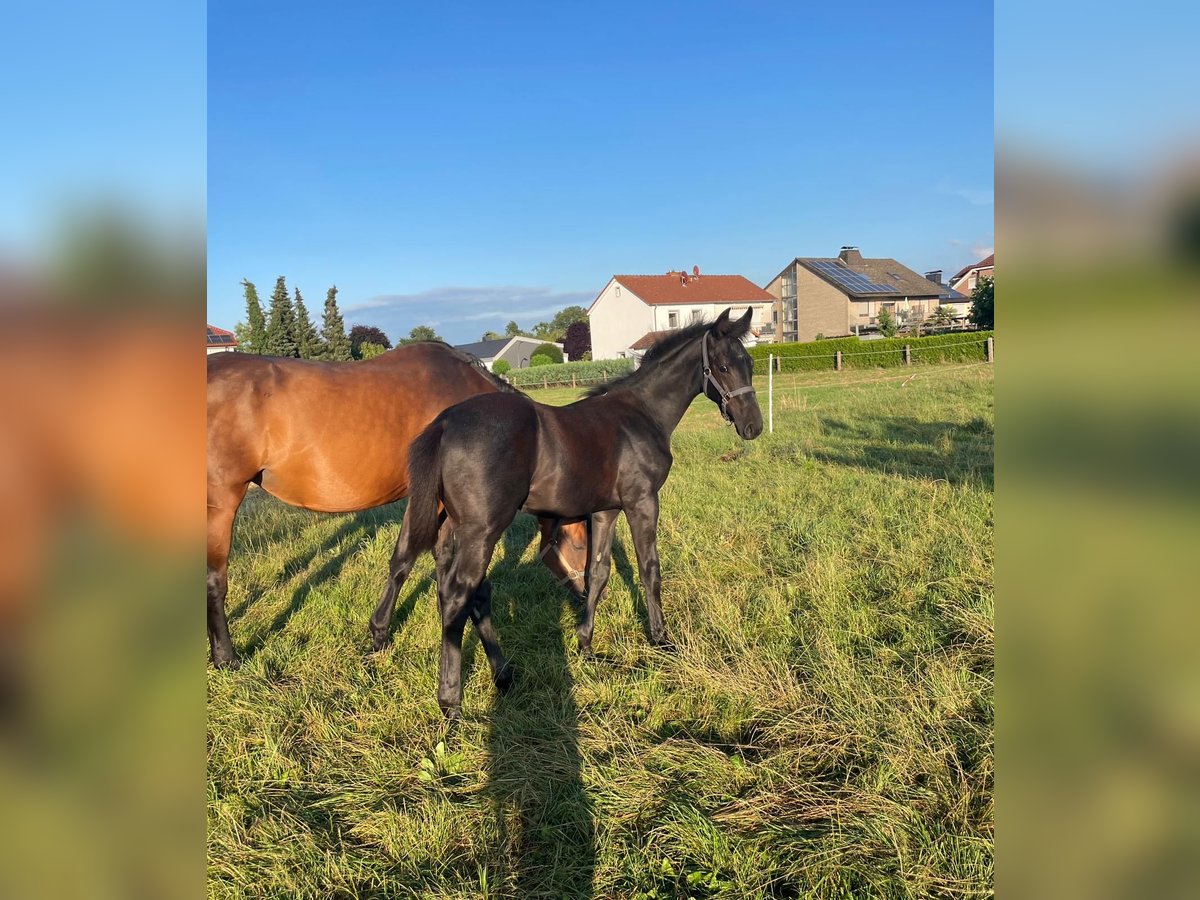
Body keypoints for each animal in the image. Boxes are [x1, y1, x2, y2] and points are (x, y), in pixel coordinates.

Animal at [207, 345, 590, 672]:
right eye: (580, 542)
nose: (587, 594)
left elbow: (440, 558)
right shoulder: (431, 499)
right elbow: (404, 560)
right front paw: (380, 634)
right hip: (221, 501)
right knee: (215, 579)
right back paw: (226, 657)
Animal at [369, 309, 758, 720]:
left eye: (749, 363)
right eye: (723, 366)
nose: (753, 426)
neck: (640, 414)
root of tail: (444, 424)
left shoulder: (605, 510)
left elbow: (597, 573)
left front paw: (586, 645)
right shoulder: (642, 501)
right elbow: (649, 569)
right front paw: (662, 640)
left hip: (443, 521)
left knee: (429, 575)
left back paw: (493, 673)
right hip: (481, 530)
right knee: (460, 594)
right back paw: (452, 701)